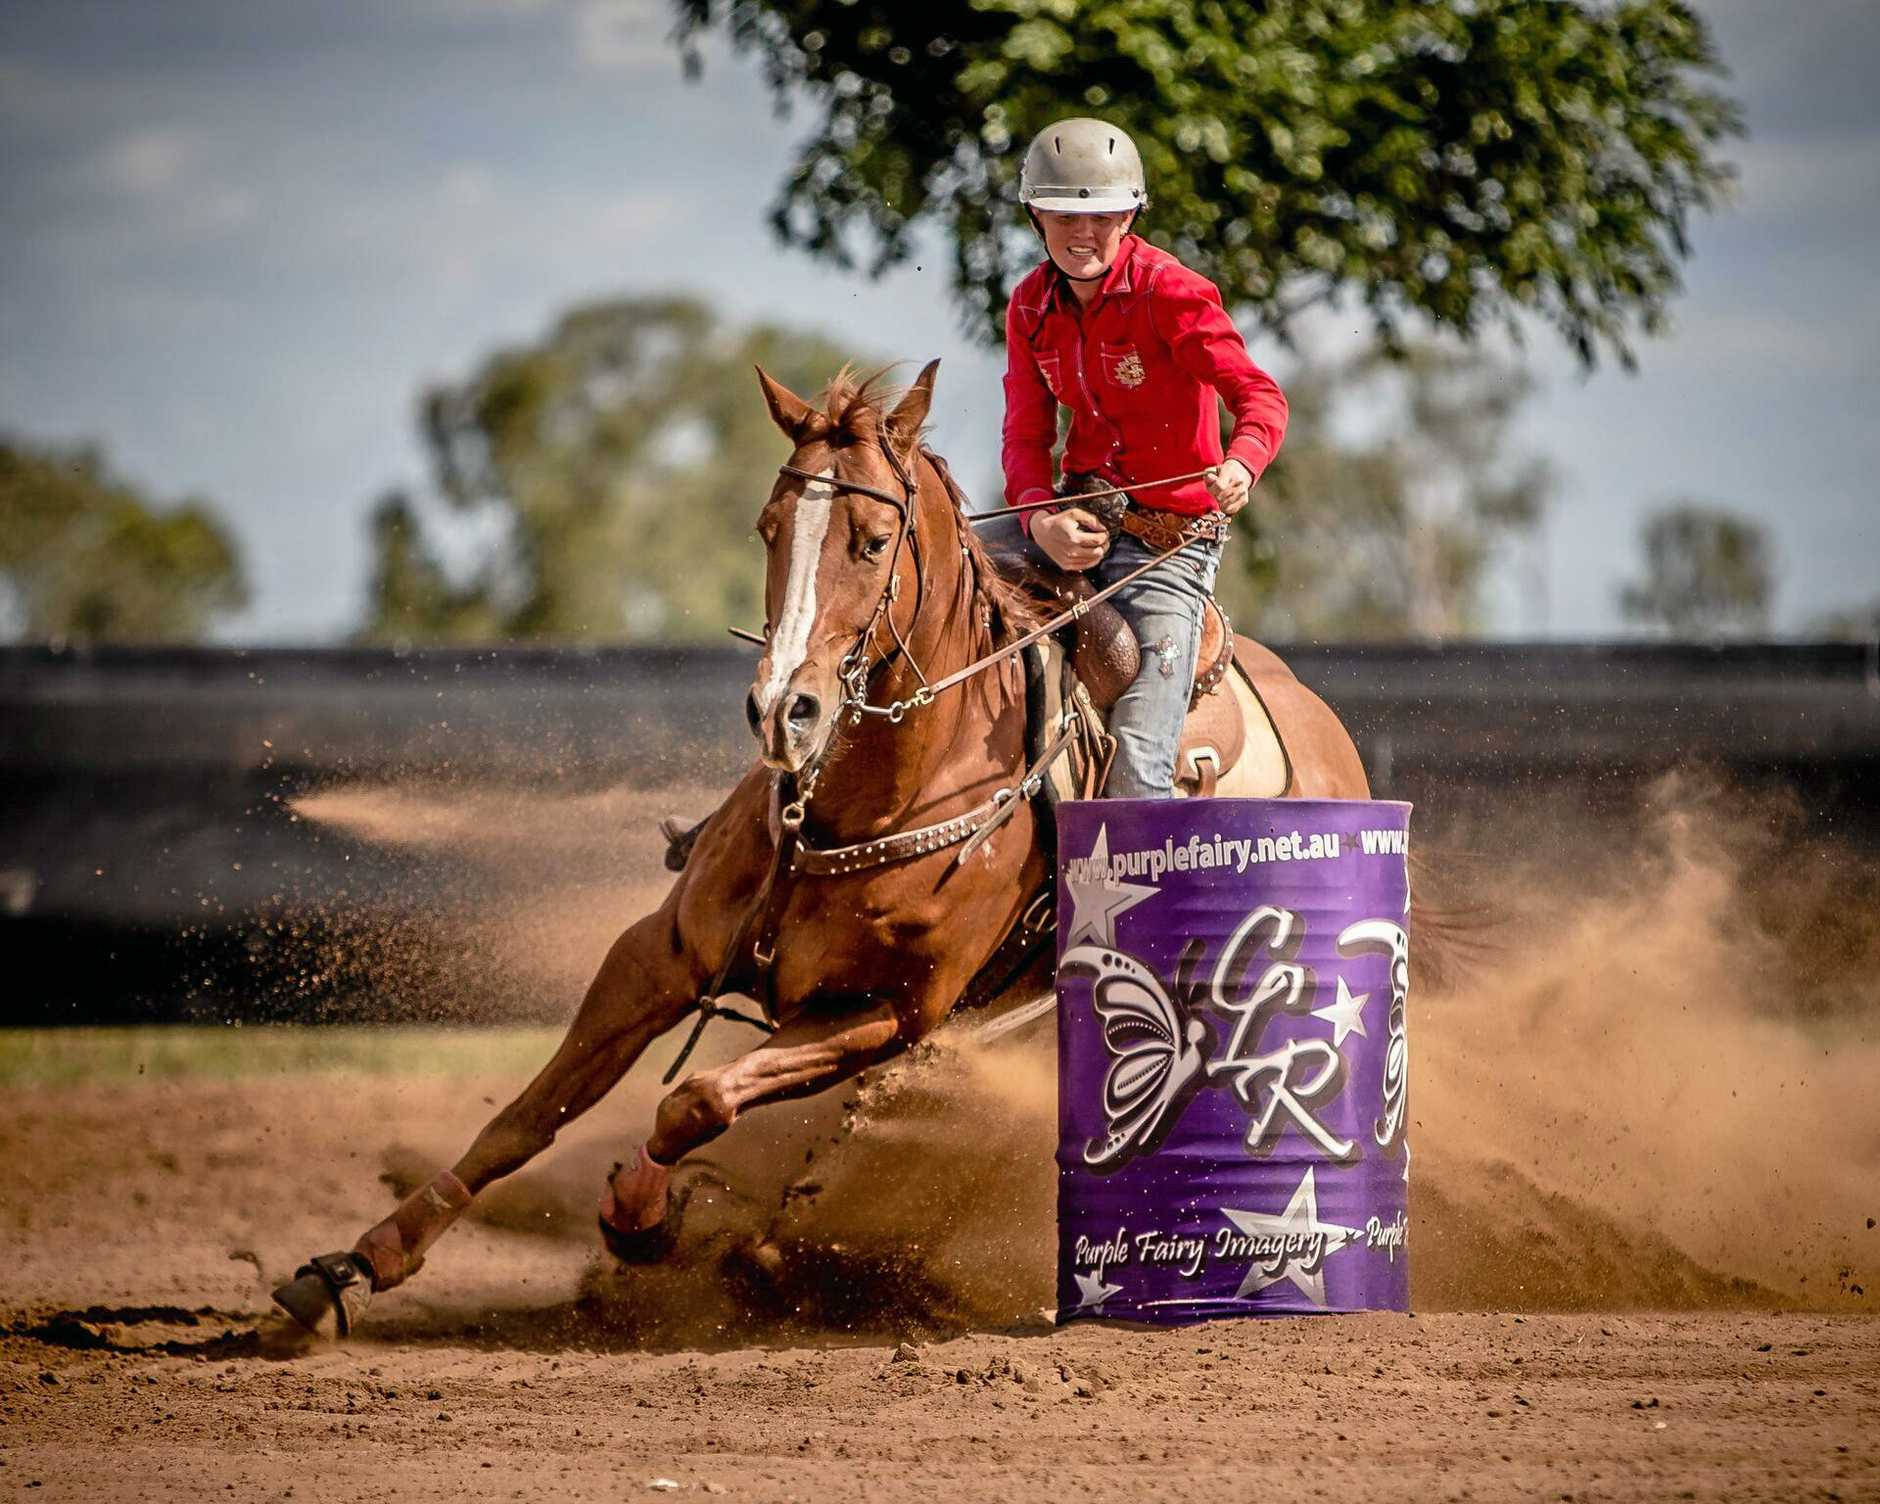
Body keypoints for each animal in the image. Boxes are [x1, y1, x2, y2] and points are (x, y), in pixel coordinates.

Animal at [272, 360, 1368, 1338]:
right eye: (768, 526)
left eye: (873, 539)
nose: (782, 710)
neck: (864, 802)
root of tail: (1332, 741)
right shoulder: (659, 952)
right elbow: (531, 1112)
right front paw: (354, 1265)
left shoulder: (885, 1012)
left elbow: (694, 1100)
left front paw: (641, 1216)